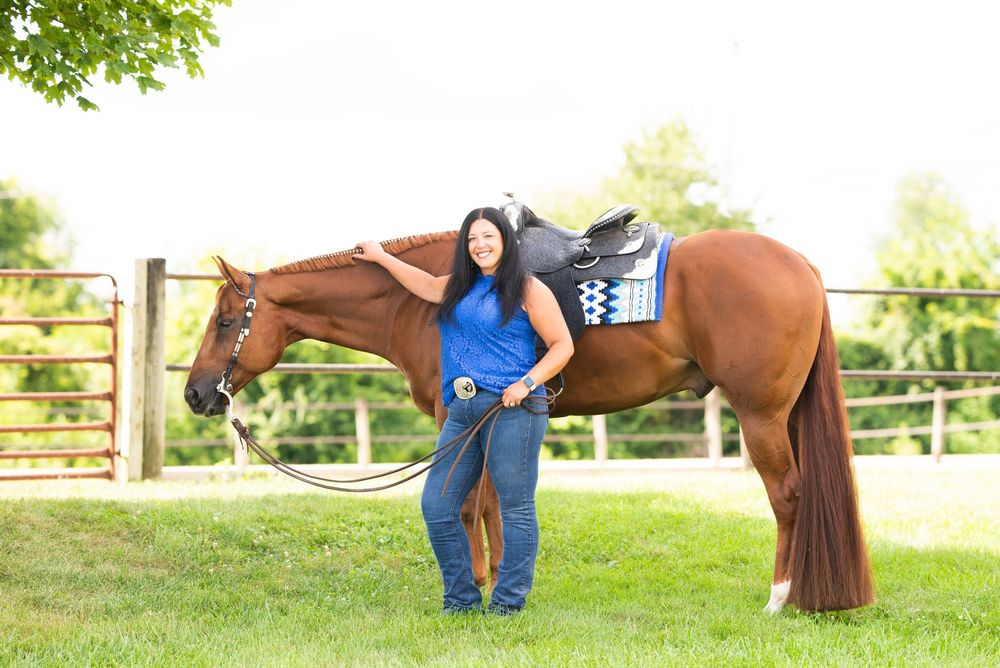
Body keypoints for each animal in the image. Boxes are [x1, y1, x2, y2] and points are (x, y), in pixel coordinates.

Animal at [184, 228, 873, 613]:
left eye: (225, 320)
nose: (195, 395)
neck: (427, 297)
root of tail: (802, 265)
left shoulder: (456, 413)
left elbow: (465, 505)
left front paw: (474, 589)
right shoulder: (488, 412)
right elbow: (490, 503)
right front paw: (495, 583)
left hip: (761, 416)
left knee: (789, 496)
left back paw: (782, 598)